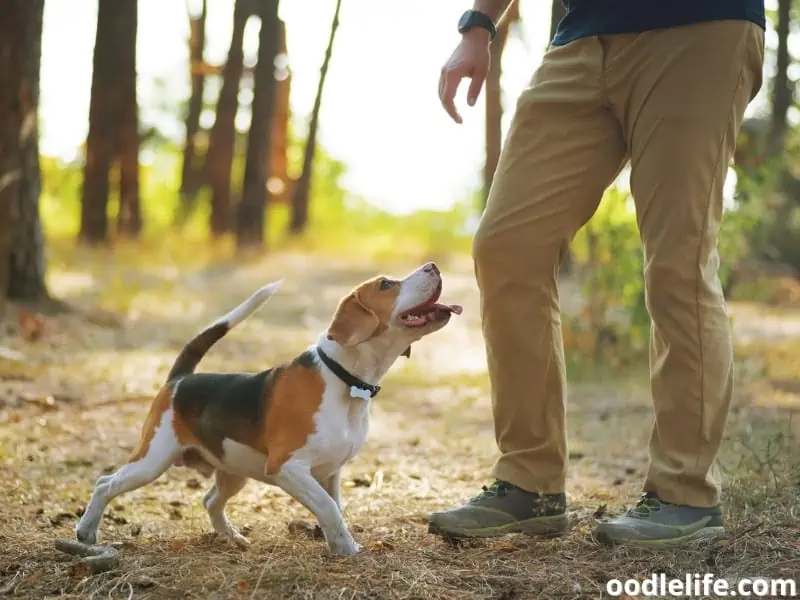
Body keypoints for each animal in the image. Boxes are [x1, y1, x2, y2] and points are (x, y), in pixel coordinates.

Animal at [76, 262, 462, 556]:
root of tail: (181, 379)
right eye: (386, 284)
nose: (433, 265)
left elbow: (334, 507)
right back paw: (86, 532)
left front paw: (337, 544)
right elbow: (327, 507)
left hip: (233, 470)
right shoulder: (287, 467)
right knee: (105, 483)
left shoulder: (330, 472)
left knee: (210, 501)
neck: (344, 379)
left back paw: (232, 538)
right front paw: (347, 549)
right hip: (153, 460)